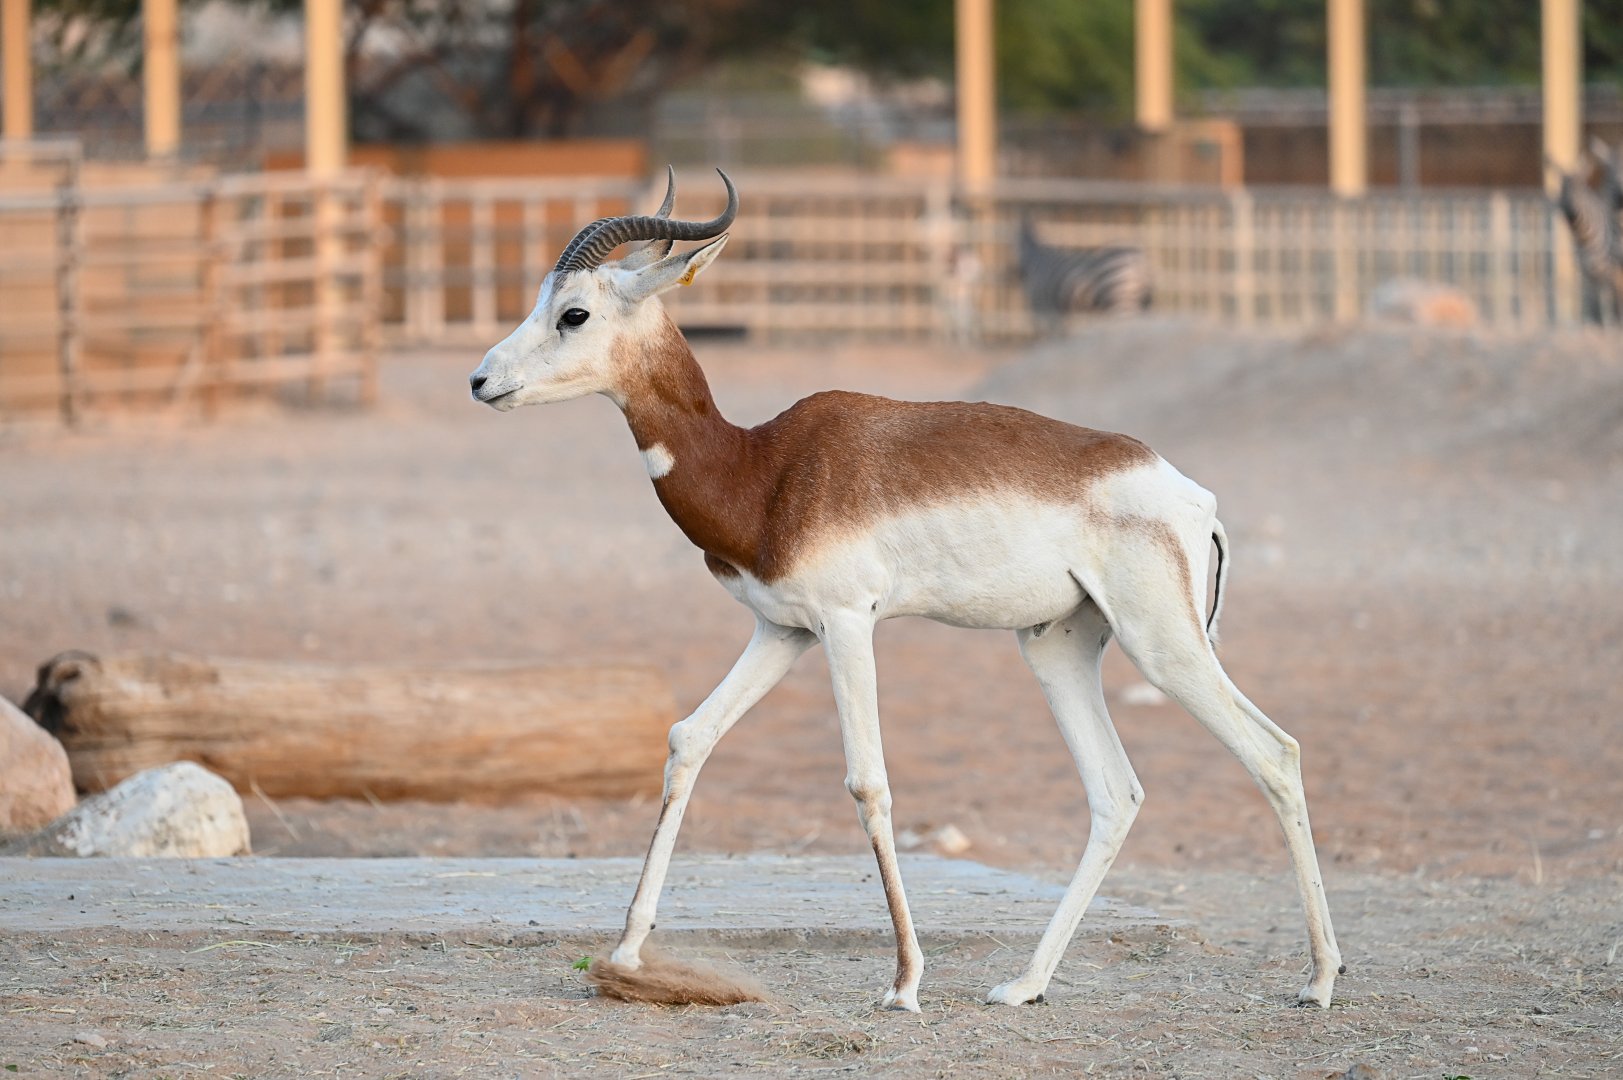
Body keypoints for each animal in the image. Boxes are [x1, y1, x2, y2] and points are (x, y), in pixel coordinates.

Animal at [469, 169, 1342, 1012]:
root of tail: (1192, 495)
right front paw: (624, 956)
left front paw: (904, 982)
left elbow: (868, 781)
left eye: (574, 313)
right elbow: (690, 738)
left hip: (1163, 645)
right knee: (1115, 792)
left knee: (1275, 753)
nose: (480, 380)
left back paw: (1320, 979)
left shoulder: (847, 624)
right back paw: (1024, 984)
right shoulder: (783, 631)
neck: (763, 470)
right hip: (1057, 648)